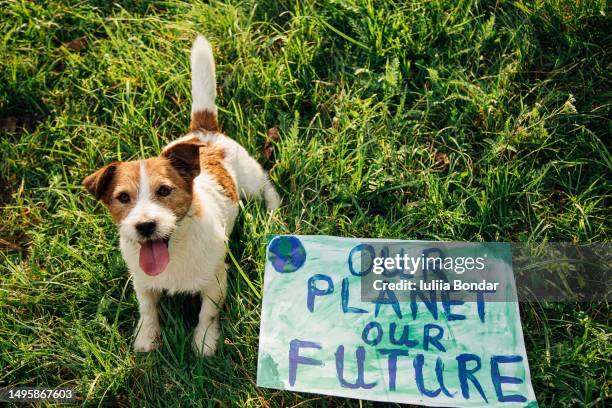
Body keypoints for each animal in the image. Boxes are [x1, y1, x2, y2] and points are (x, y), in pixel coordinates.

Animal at [83, 35, 280, 354]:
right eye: (123, 198)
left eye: (165, 190)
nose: (145, 226)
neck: (175, 249)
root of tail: (203, 131)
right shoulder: (143, 283)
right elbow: (148, 309)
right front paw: (147, 337)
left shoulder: (215, 281)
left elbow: (207, 313)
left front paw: (204, 342)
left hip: (250, 180)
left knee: (268, 188)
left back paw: (273, 215)